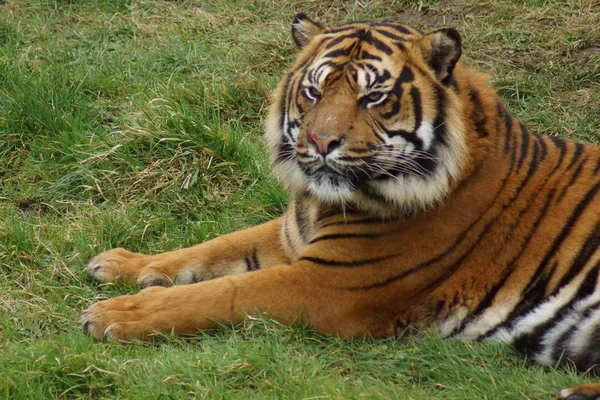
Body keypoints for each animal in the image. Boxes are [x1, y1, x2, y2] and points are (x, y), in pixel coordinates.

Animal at [82, 14, 600, 398]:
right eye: (314, 91)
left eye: (374, 97)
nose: (320, 141)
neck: (323, 203)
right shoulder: (291, 235)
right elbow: (211, 249)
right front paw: (120, 263)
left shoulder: (328, 284)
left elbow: (219, 292)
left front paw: (113, 315)